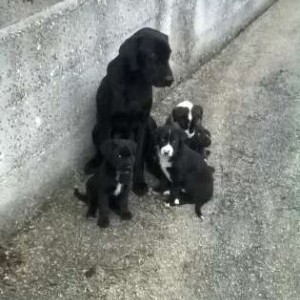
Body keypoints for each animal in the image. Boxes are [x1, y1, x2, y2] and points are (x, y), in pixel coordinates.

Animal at [84, 27, 173, 197]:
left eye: (169, 54)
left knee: (148, 156)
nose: (170, 80)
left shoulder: (142, 123)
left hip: (151, 124)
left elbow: (138, 157)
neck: (134, 81)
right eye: (152, 55)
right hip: (96, 128)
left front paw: (139, 182)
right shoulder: (106, 123)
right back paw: (93, 163)